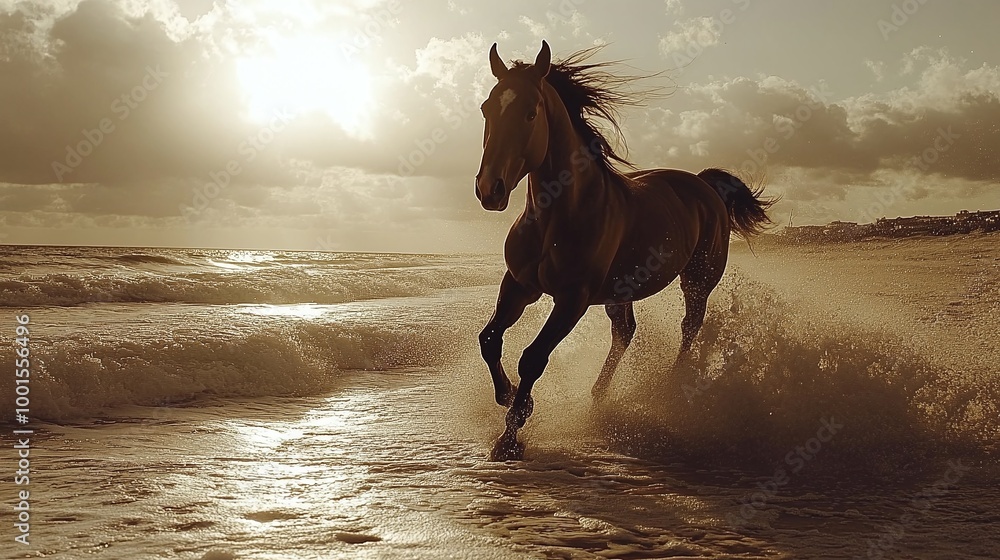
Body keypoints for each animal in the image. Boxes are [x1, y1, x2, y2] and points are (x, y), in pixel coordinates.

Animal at [475, 41, 775, 461]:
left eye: (531, 112)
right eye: (487, 108)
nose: (490, 189)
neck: (561, 212)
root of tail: (704, 185)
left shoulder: (573, 299)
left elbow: (533, 358)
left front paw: (509, 438)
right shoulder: (519, 285)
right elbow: (489, 340)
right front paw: (511, 398)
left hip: (697, 280)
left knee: (690, 326)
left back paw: (671, 388)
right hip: (621, 292)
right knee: (625, 332)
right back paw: (598, 397)